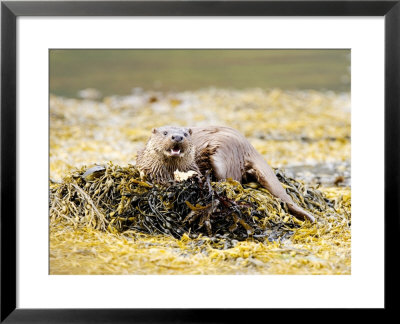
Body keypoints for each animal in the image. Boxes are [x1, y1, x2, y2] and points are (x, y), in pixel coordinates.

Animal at [137, 126, 316, 223]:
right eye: (165, 133)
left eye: (186, 134)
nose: (178, 136)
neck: (167, 173)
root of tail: (248, 146)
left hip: (223, 151)